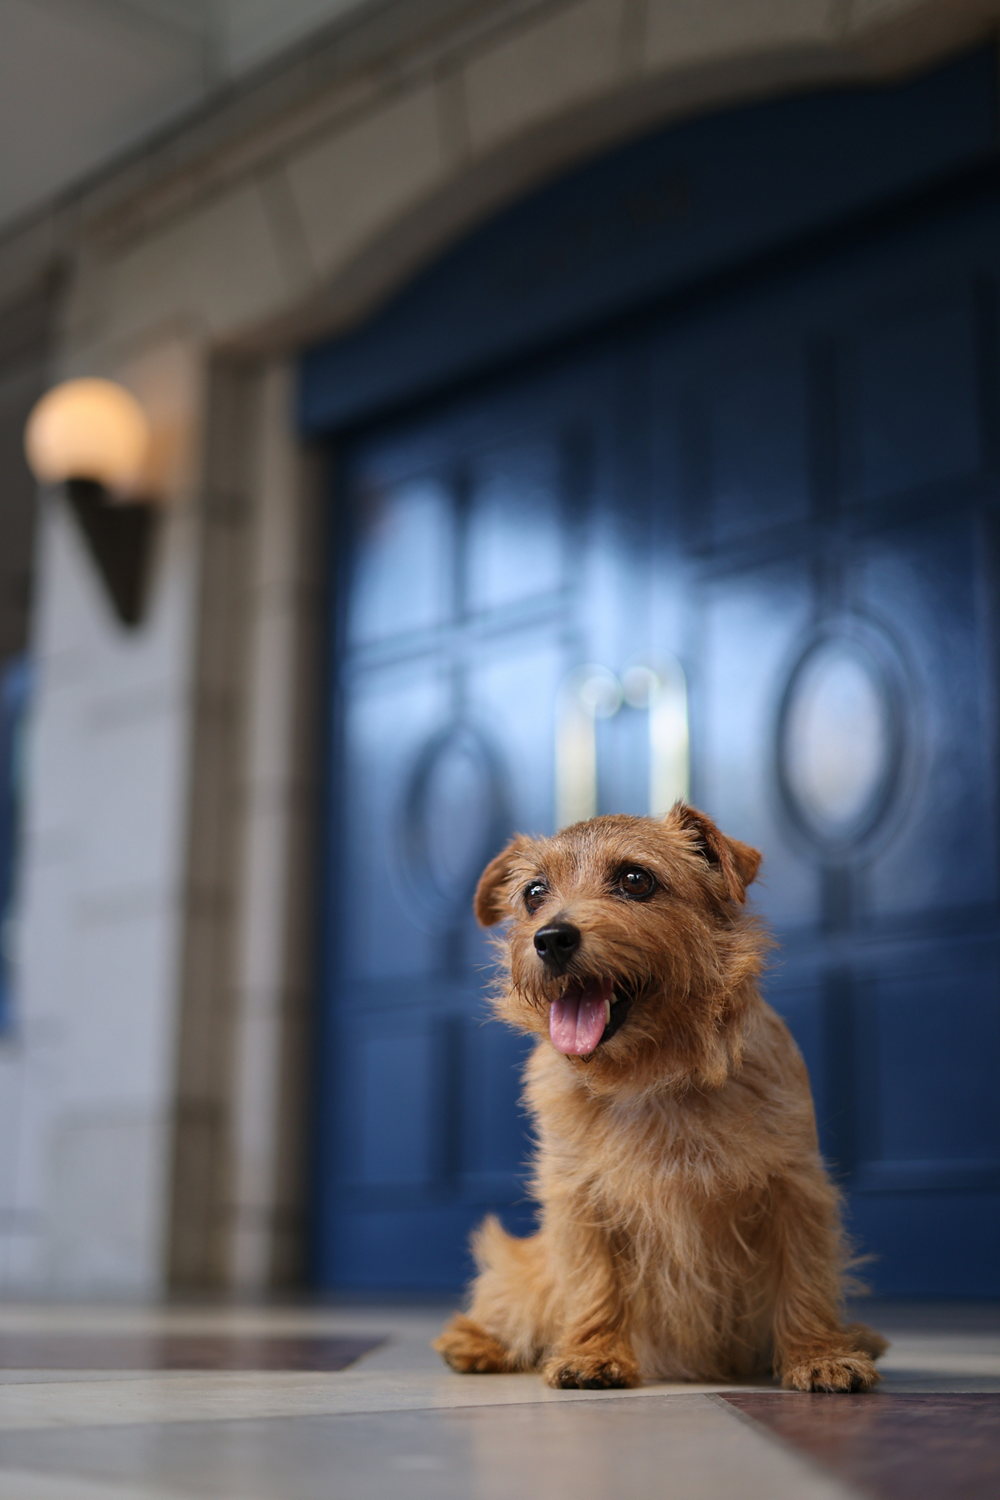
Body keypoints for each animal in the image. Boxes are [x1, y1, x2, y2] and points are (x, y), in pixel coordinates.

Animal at [434, 810, 887, 1392]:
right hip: (524, 1270)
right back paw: (472, 1343)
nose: (550, 938)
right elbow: (592, 1279)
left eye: (636, 880)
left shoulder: (795, 1187)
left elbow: (804, 1276)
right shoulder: (579, 1199)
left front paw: (820, 1355)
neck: (650, 1075)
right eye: (534, 893)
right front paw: (592, 1355)